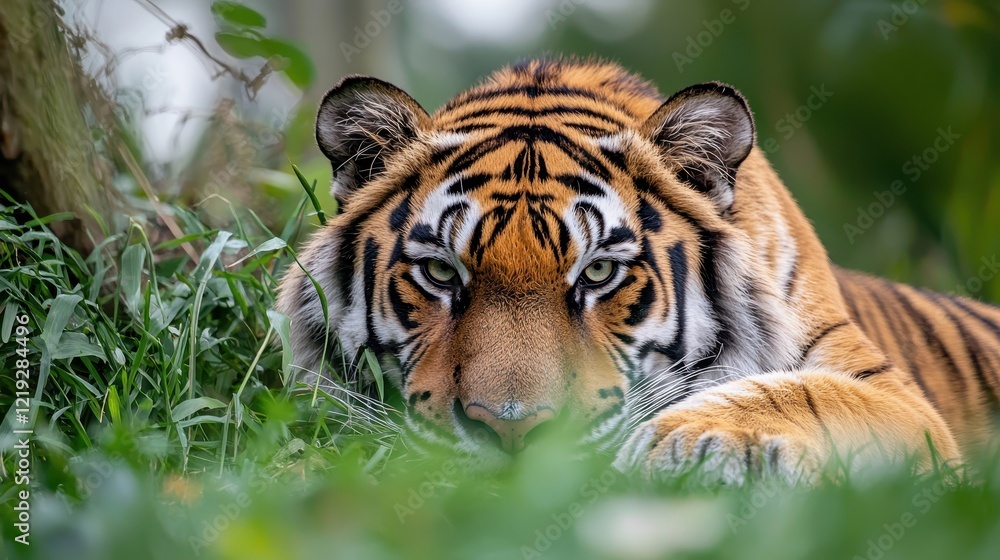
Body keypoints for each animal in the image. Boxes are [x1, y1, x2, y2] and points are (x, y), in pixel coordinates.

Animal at [277, 57, 1000, 483]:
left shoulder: (902, 402)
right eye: (441, 274)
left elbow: (812, 394)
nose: (513, 433)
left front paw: (687, 439)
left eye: (598, 274)